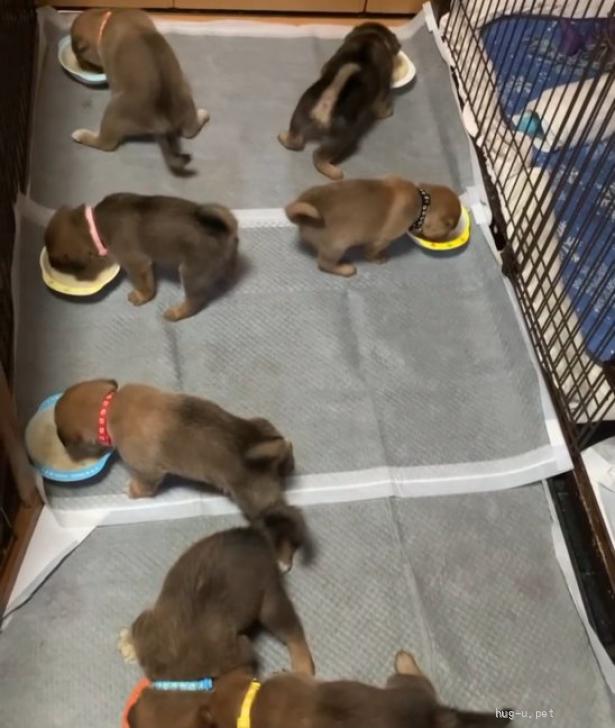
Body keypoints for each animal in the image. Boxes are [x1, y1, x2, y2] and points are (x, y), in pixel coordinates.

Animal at [44, 194, 238, 322]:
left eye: (57, 260)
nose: (52, 265)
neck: (94, 225)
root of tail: (225, 231)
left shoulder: (136, 264)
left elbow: (145, 286)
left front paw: (141, 297)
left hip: (191, 273)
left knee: (195, 302)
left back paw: (176, 313)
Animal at [54, 379, 304, 569]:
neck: (110, 407)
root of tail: (259, 448)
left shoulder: (148, 472)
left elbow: (144, 486)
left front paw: (132, 491)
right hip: (264, 426)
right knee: (287, 445)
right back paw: (288, 465)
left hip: (255, 503)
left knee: (282, 521)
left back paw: (282, 558)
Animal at [70, 8, 209, 175]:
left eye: (79, 55)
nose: (80, 65)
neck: (107, 19)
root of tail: (163, 119)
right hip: (186, 101)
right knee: (190, 131)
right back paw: (203, 114)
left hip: (113, 112)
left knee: (106, 144)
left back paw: (81, 135)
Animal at [278, 22, 401, 180]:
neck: (371, 36)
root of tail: (326, 104)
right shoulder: (383, 88)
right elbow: (381, 104)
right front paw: (387, 112)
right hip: (340, 138)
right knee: (318, 156)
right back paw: (334, 172)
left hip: (300, 113)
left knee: (295, 140)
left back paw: (284, 138)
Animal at [285, 176, 462, 276]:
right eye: (449, 228)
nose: (446, 238)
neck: (422, 200)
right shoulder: (382, 239)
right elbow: (371, 252)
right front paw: (378, 258)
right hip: (336, 247)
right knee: (324, 264)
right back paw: (345, 269)